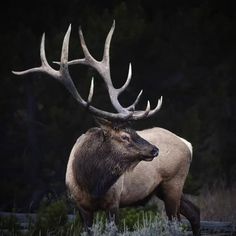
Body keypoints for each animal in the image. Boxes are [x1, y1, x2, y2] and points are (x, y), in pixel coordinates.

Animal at [13, 21, 199, 235]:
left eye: (135, 131)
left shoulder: (114, 202)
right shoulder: (81, 206)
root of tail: (187, 144)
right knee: (193, 211)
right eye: (125, 136)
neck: (91, 183)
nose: (155, 150)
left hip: (174, 182)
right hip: (163, 188)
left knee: (175, 221)